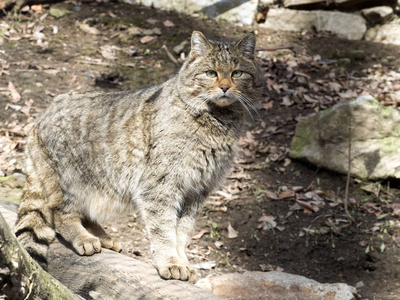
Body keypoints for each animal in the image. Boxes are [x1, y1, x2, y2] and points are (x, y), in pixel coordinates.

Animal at [14, 31, 264, 284]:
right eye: (211, 73)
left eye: (237, 73)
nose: (224, 86)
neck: (219, 122)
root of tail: (41, 116)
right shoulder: (160, 187)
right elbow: (164, 230)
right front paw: (171, 263)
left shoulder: (197, 191)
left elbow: (182, 233)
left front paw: (183, 261)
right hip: (73, 182)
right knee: (60, 213)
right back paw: (84, 238)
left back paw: (103, 237)